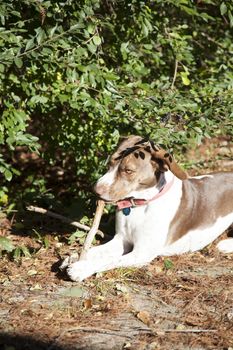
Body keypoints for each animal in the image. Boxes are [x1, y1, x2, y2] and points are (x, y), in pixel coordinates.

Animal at [64, 134, 233, 282]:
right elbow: (95, 251)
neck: (141, 204)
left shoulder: (142, 253)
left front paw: (81, 269)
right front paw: (73, 257)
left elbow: (109, 260)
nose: (95, 190)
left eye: (128, 170)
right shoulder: (121, 240)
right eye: (110, 164)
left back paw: (225, 245)